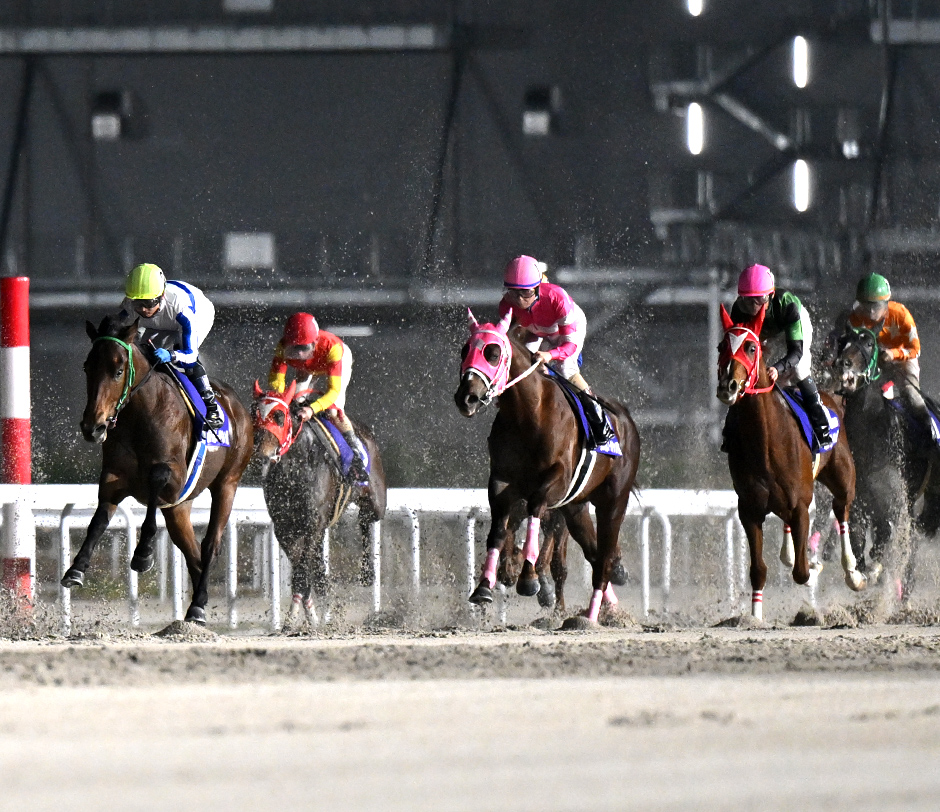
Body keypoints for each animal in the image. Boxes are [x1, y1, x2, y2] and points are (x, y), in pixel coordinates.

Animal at [63, 314, 255, 624]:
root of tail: (237, 405)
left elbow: (155, 479)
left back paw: (197, 605)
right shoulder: (114, 478)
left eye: (118, 371)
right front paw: (76, 569)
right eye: (86, 367)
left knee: (210, 545)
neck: (142, 413)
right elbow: (98, 521)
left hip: (228, 483)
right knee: (192, 552)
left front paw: (143, 554)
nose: (93, 427)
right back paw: (198, 605)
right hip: (179, 509)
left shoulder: (175, 480)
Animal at [252, 380, 388, 628]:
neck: (295, 468)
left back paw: (367, 573)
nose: (261, 457)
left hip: (375, 500)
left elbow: (302, 570)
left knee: (366, 519)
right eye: (253, 414)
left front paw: (296, 616)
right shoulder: (284, 527)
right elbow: (300, 568)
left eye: (279, 416)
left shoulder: (313, 524)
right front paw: (307, 614)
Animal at [454, 310, 644, 620]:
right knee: (593, 553)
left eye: (493, 353)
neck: (529, 414)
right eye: (464, 351)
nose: (466, 398)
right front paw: (484, 586)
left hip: (613, 501)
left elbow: (535, 507)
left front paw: (529, 579)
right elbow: (499, 529)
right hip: (576, 508)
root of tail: (625, 418)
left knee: (603, 559)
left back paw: (591, 617)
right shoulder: (501, 480)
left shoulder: (557, 480)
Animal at [720, 302, 868, 620]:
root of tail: (832, 396)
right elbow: (758, 570)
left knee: (842, 511)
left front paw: (813, 567)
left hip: (842, 478)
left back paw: (853, 574)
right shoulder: (749, 509)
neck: (765, 439)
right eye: (720, 346)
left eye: (751, 347)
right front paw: (755, 618)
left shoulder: (801, 505)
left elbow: (801, 573)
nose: (728, 385)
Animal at [832, 326, 936, 596]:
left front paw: (876, 571)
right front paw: (859, 576)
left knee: (909, 544)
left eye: (868, 343)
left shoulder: (893, 501)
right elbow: (858, 544)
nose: (842, 363)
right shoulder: (859, 503)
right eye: (842, 341)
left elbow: (885, 542)